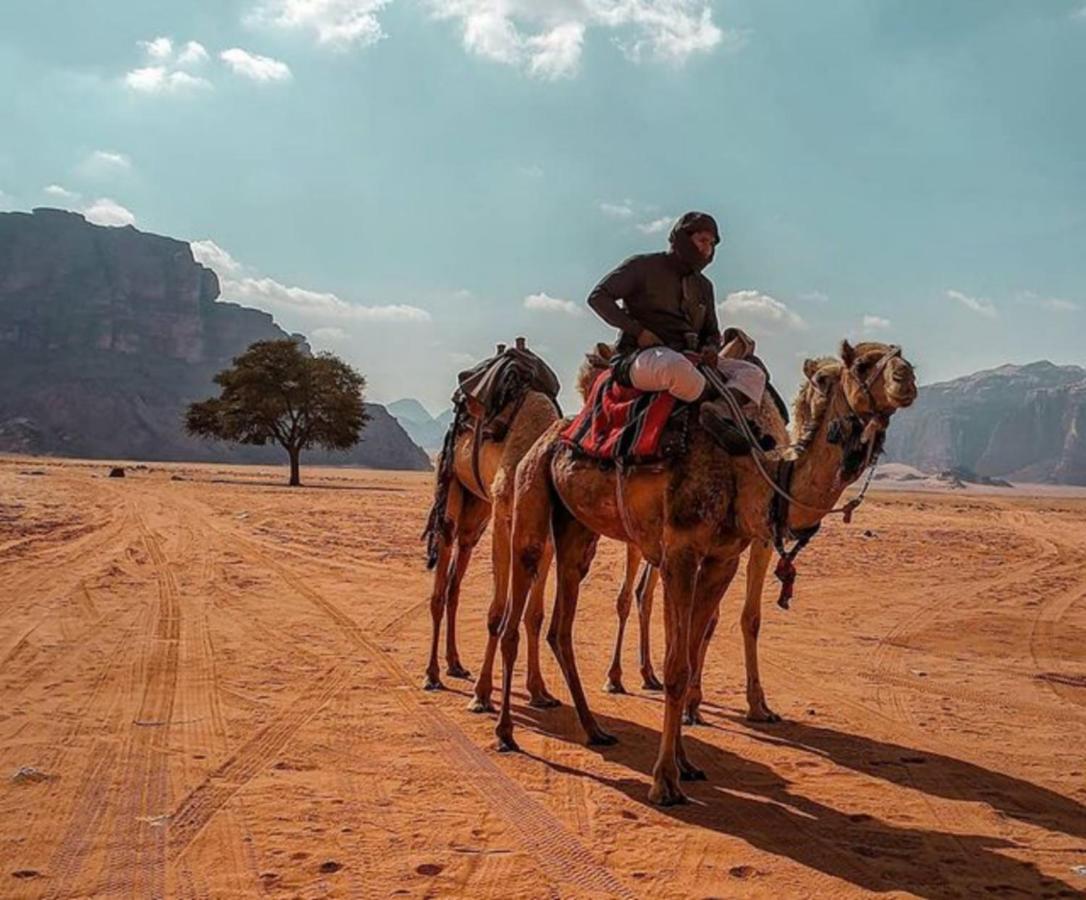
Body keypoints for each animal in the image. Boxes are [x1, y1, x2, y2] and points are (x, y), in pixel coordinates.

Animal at [419, 343, 560, 707]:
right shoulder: (504, 519)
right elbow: (497, 612)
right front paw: (482, 695)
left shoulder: (548, 541)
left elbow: (534, 616)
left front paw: (539, 691)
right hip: (451, 487)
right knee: (440, 585)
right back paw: (432, 675)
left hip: (477, 510)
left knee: (455, 582)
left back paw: (455, 664)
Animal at [497, 340, 912, 803]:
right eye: (861, 364)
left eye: (899, 355)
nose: (907, 378)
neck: (750, 476)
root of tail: (554, 433)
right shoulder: (681, 551)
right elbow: (677, 666)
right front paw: (665, 780)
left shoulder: (721, 559)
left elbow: (693, 652)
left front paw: (685, 762)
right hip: (531, 501)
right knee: (513, 616)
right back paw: (505, 730)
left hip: (577, 530)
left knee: (560, 625)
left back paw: (594, 728)